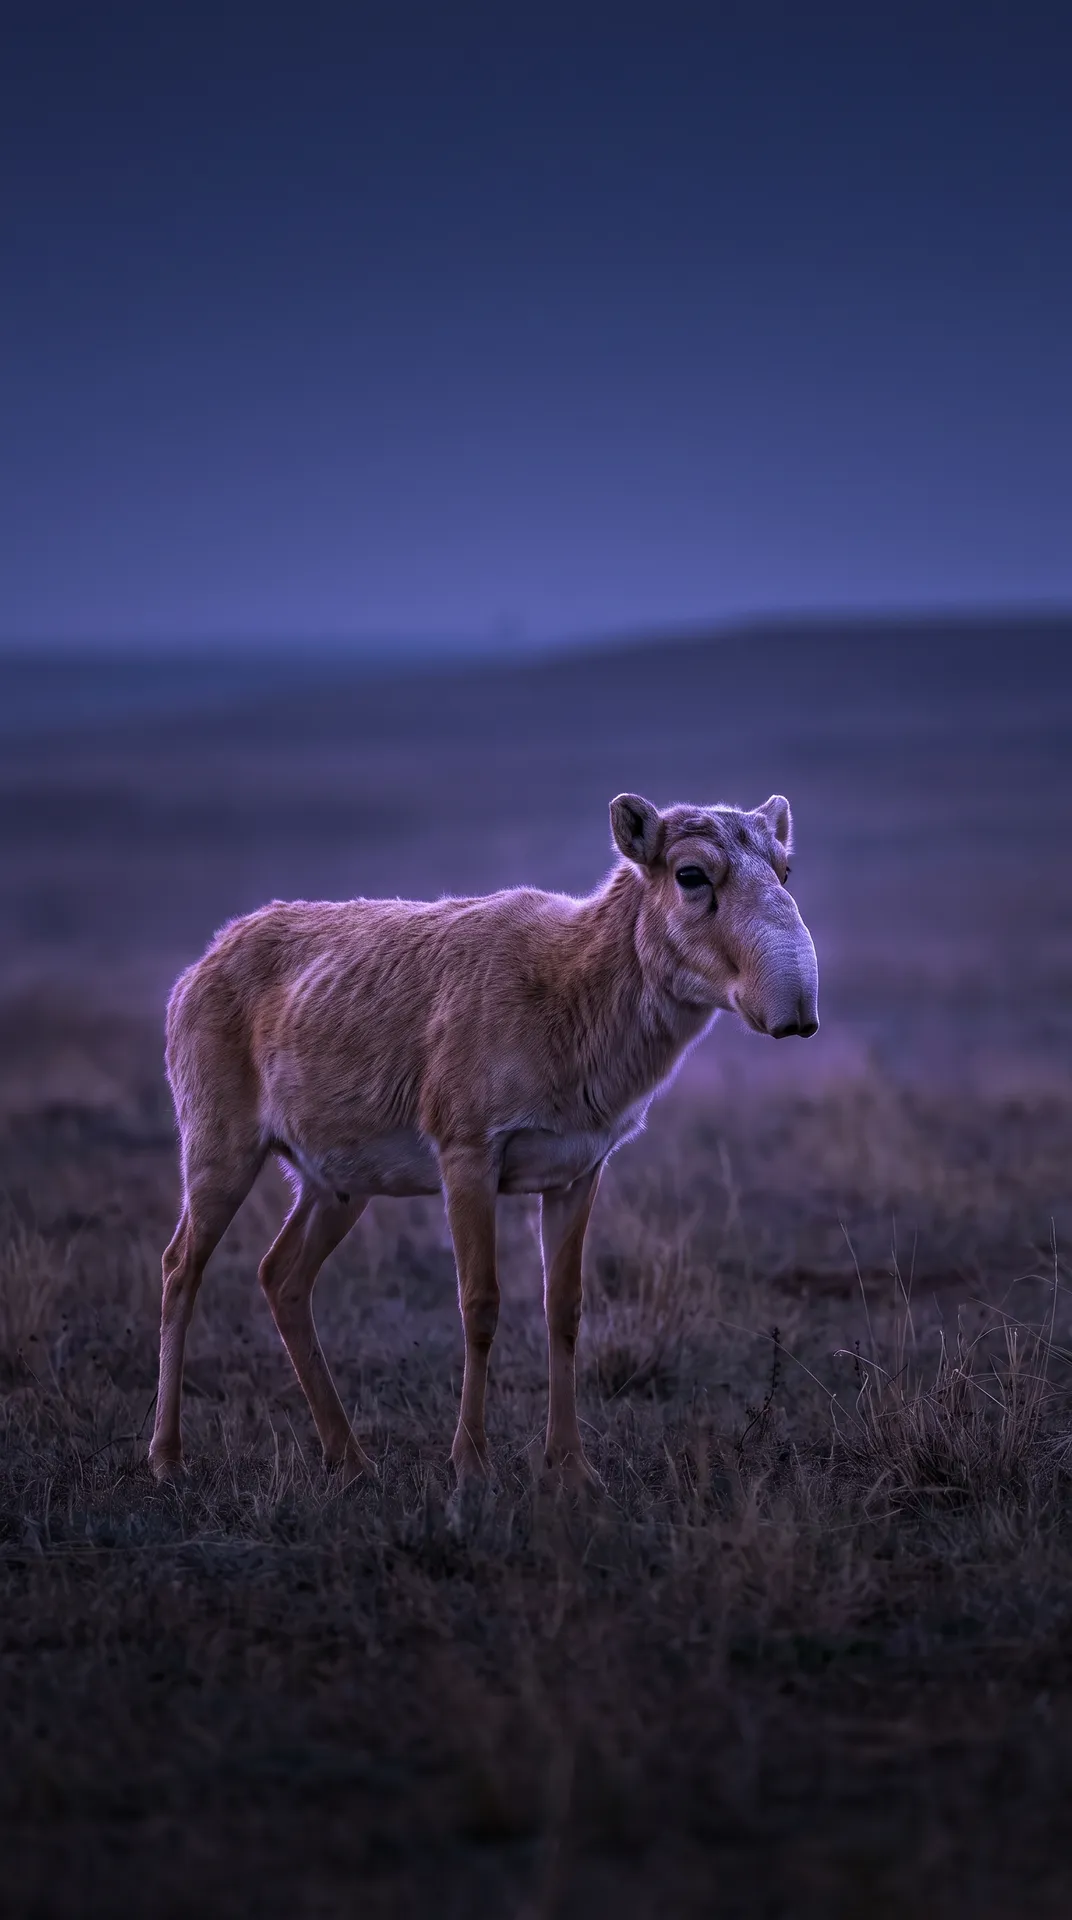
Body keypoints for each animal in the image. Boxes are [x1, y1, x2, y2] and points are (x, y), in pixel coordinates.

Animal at [149, 792, 818, 1491]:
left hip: (337, 1185)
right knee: (180, 1268)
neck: (572, 988)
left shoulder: (578, 1171)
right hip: (220, 1150)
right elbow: (480, 1303)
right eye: (691, 874)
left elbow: (565, 1308)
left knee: (280, 1276)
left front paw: (571, 1464)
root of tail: (200, 967)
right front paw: (471, 1460)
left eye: (785, 868)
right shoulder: (468, 1155)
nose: (796, 1005)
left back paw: (350, 1457)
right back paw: (167, 1457)